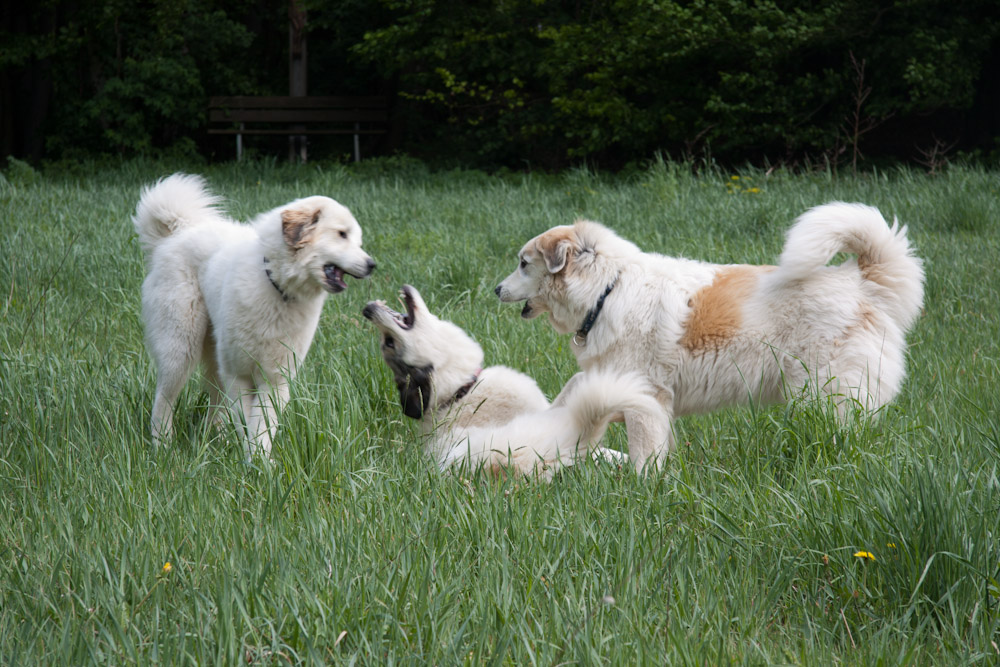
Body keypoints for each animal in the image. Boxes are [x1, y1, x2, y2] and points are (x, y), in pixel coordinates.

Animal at [133, 174, 376, 460]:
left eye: (357, 240)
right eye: (341, 234)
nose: (372, 265)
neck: (277, 285)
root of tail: (179, 231)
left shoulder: (275, 379)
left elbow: (262, 426)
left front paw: (260, 463)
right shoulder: (239, 374)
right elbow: (247, 420)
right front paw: (253, 461)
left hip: (213, 357)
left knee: (215, 401)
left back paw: (220, 441)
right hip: (180, 350)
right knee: (164, 399)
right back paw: (162, 446)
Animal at [496, 202, 924, 470]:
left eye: (523, 263)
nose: (497, 289)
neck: (607, 290)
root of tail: (860, 281)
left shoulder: (644, 396)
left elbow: (643, 453)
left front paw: (642, 487)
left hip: (825, 396)